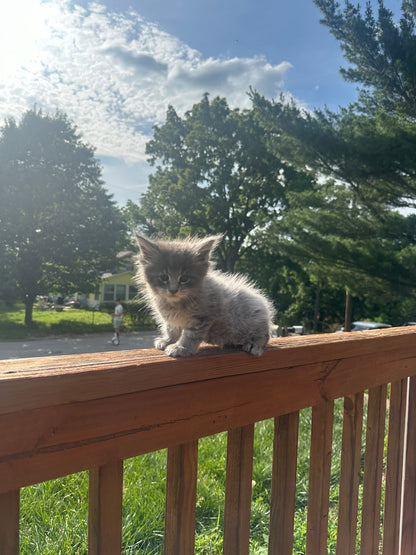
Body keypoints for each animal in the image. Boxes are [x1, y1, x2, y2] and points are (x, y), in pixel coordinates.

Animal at [135, 236, 274, 360]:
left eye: (184, 278)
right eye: (164, 277)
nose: (173, 290)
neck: (176, 303)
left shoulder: (202, 318)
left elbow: (190, 335)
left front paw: (181, 348)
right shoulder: (171, 320)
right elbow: (171, 329)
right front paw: (168, 340)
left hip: (255, 317)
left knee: (264, 335)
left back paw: (254, 345)